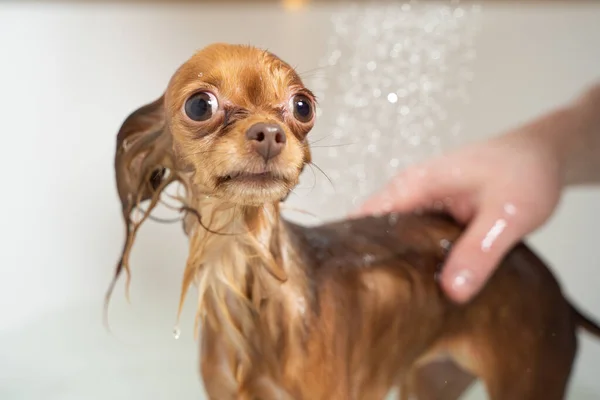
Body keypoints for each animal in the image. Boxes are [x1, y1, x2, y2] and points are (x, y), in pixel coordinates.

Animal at [108, 42, 600, 398]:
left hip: (527, 379)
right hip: (430, 382)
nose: (269, 133)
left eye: (302, 106)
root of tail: (554, 285)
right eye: (199, 106)